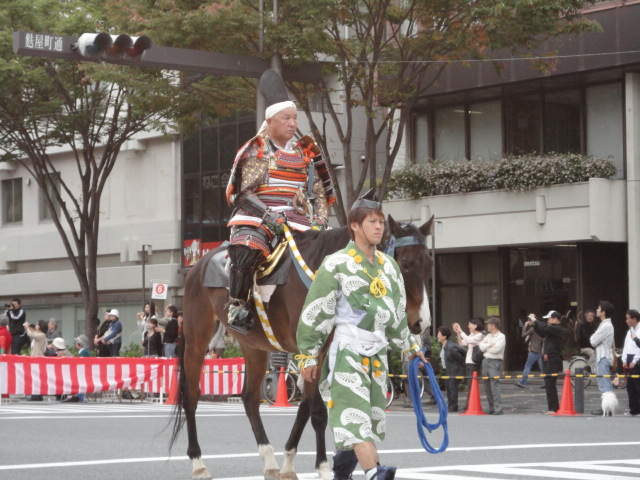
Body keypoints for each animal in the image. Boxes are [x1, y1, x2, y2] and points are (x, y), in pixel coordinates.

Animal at [170, 214, 434, 479]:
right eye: (406, 264)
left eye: (429, 264)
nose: (421, 322)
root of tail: (196, 268)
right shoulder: (310, 347)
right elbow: (317, 411)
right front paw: (323, 467)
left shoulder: (321, 351)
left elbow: (306, 407)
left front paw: (289, 463)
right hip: (197, 338)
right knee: (191, 395)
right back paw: (198, 463)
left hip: (253, 345)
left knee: (249, 398)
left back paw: (270, 461)